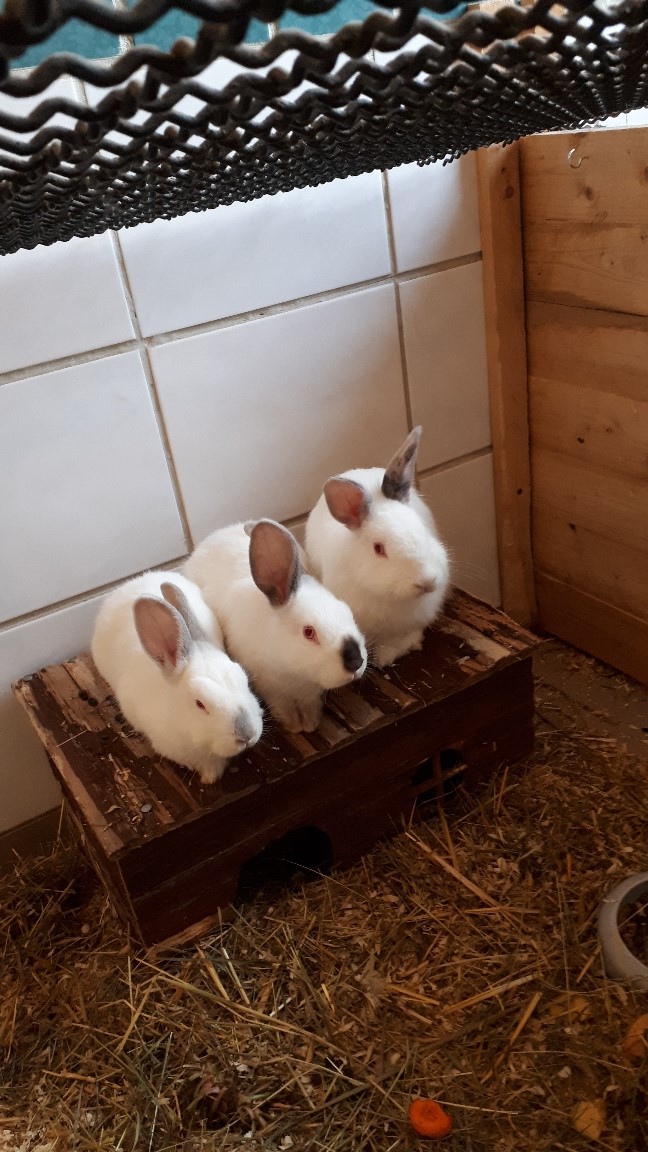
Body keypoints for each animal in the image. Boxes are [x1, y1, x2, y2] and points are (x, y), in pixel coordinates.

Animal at [184, 520, 366, 732]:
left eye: (346, 610)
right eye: (308, 632)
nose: (356, 662)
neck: (294, 673)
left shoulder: (309, 693)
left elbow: (310, 704)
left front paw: (310, 723)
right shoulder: (270, 688)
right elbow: (282, 705)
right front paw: (293, 725)